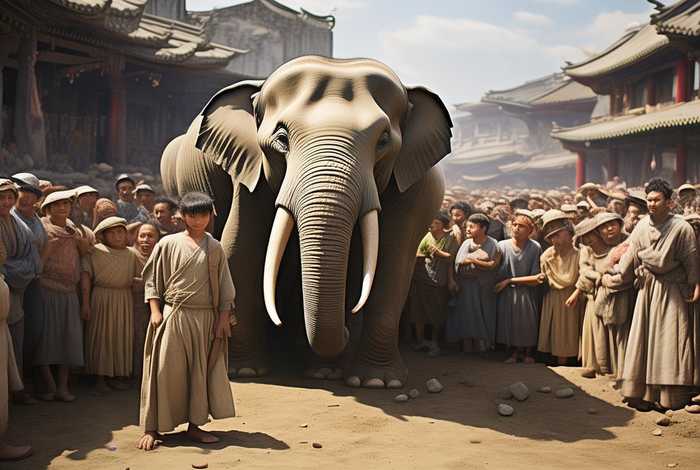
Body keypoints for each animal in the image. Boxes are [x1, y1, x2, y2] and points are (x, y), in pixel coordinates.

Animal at [160, 55, 452, 389]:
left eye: (383, 141)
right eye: (282, 139)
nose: (347, 328)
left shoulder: (409, 184)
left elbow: (394, 260)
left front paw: (377, 382)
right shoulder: (249, 171)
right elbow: (239, 247)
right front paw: (244, 373)